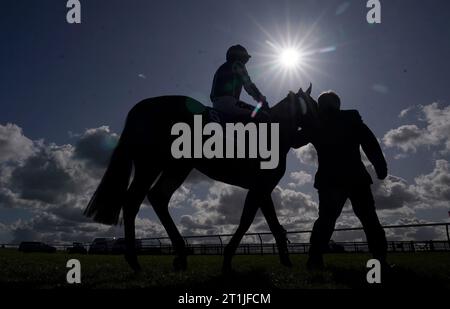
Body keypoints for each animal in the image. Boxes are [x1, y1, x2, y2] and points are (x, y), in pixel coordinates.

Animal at [84, 85, 316, 270]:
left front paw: (286, 260)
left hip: (175, 167)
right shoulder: (260, 187)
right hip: (154, 165)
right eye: (313, 105)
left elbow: (272, 222)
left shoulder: (263, 187)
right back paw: (135, 260)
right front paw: (228, 258)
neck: (275, 132)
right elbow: (247, 220)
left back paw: (178, 256)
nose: (311, 133)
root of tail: (141, 106)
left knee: (157, 197)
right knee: (134, 201)